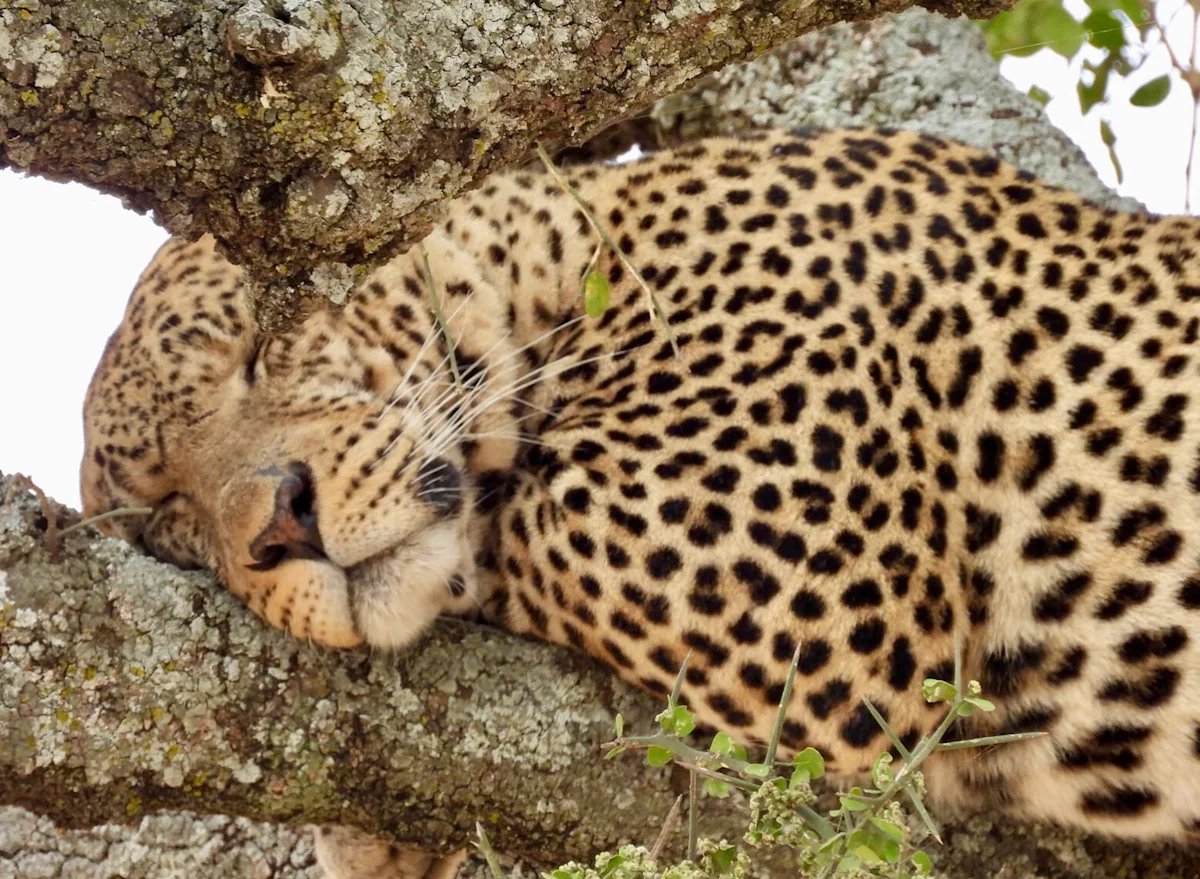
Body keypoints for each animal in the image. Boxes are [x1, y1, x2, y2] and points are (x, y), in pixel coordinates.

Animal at [81, 127, 1200, 875]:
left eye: (267, 345)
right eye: (170, 517)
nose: (281, 523)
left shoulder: (765, 543)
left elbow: (520, 525)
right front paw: (367, 835)